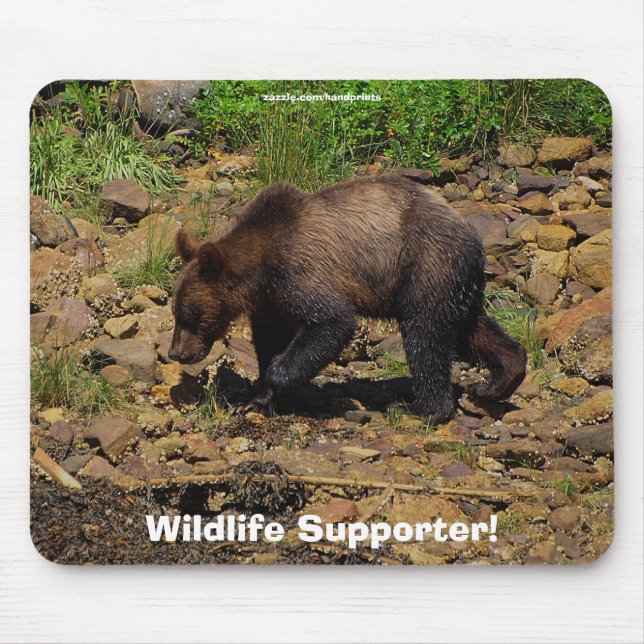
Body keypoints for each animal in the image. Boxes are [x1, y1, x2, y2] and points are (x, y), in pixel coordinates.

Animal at [169, 173, 526, 423]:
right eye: (176, 313)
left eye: (189, 315)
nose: (176, 353)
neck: (262, 264)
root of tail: (474, 238)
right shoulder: (272, 300)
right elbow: (270, 338)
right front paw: (257, 396)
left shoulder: (301, 270)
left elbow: (332, 323)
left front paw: (268, 389)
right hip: (455, 284)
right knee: (470, 328)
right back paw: (499, 380)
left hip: (425, 264)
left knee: (425, 335)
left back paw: (422, 408)